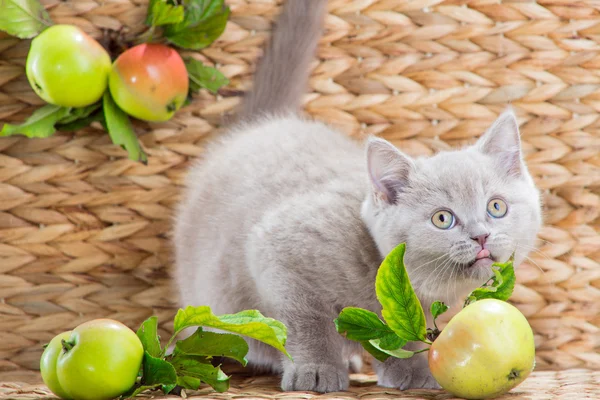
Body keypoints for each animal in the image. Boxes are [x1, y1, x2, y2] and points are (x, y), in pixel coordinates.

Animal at [172, 0, 544, 394]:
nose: (481, 235)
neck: (381, 271)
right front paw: (316, 369)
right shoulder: (278, 248)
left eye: (496, 207)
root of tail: (258, 126)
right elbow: (304, 317)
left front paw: (410, 371)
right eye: (443, 218)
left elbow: (402, 333)